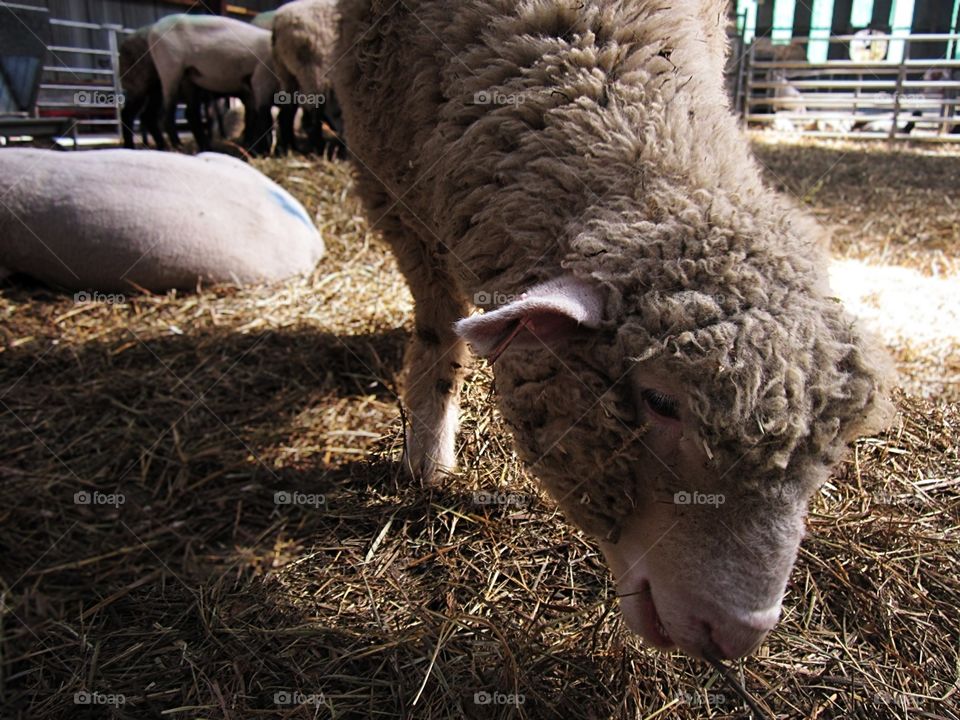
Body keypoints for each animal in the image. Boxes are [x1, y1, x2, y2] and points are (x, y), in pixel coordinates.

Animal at [148, 14, 279, 155]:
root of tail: (154, 28)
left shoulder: (250, 91)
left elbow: (252, 117)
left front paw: (250, 145)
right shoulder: (261, 81)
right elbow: (263, 118)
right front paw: (260, 149)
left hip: (188, 77)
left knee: (191, 113)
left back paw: (205, 146)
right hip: (170, 69)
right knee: (167, 114)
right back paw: (178, 146)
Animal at [271, 0, 345, 158]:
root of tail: (279, 21)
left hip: (285, 70)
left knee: (287, 111)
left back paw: (288, 148)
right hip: (314, 67)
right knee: (314, 112)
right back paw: (318, 148)